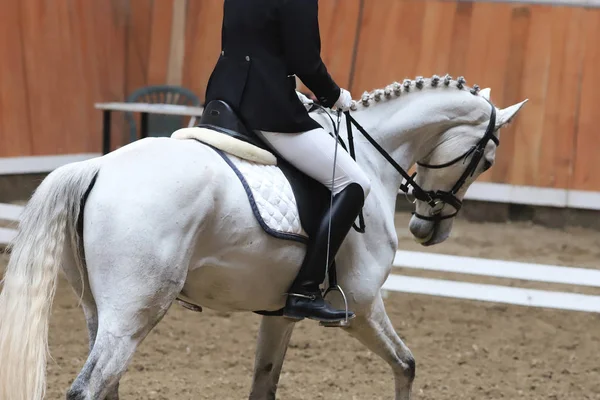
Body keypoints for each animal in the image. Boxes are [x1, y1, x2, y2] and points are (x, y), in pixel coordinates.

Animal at [0, 74, 524, 396]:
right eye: (486, 161)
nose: (429, 228)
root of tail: (98, 166)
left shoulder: (282, 314)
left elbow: (264, 385)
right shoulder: (361, 305)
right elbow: (406, 363)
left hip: (98, 311)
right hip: (132, 313)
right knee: (89, 387)